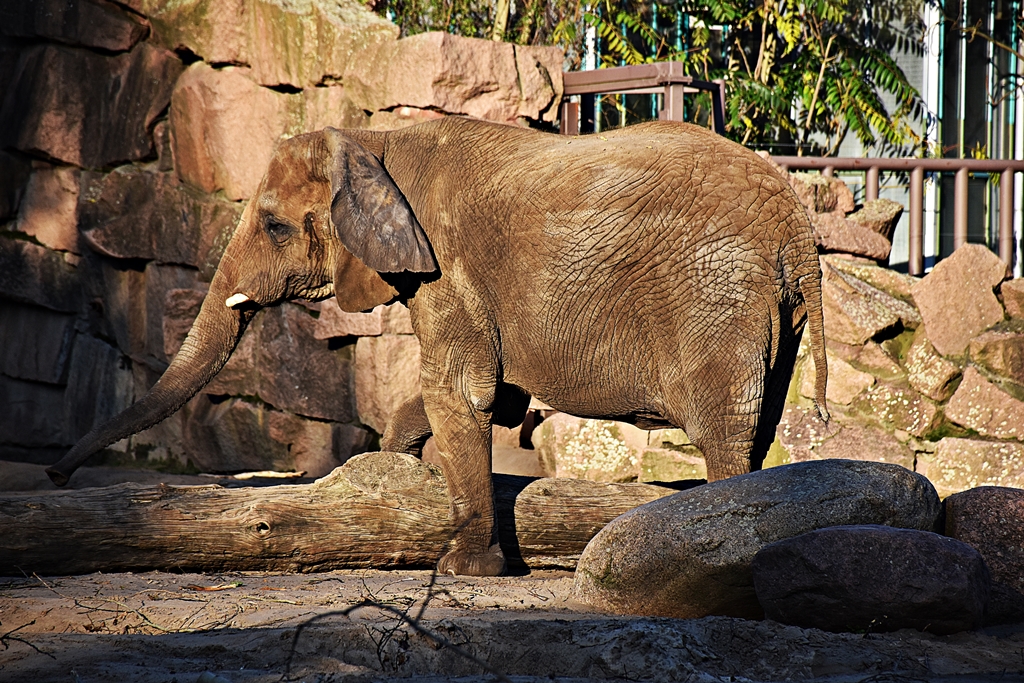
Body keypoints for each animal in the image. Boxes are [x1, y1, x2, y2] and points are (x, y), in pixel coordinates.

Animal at [47, 116, 829, 576]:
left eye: (272, 226)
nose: (55, 475)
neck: (375, 139)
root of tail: (799, 228)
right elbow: (481, 392)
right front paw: (393, 472)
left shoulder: (447, 266)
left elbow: (461, 390)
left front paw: (460, 570)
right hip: (777, 313)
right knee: (761, 425)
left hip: (717, 292)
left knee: (726, 431)